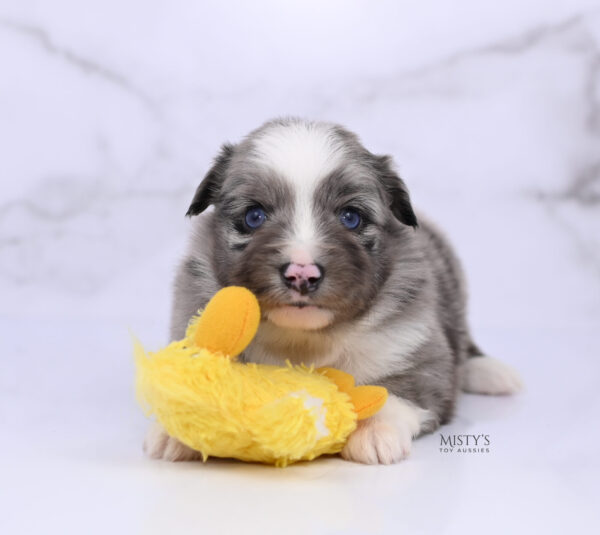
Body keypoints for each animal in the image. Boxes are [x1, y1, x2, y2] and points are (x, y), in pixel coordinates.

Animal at [144, 118, 520, 464]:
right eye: (254, 216)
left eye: (351, 217)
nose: (302, 274)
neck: (304, 338)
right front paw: (179, 429)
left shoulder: (418, 351)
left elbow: (394, 392)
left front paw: (375, 431)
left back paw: (490, 372)